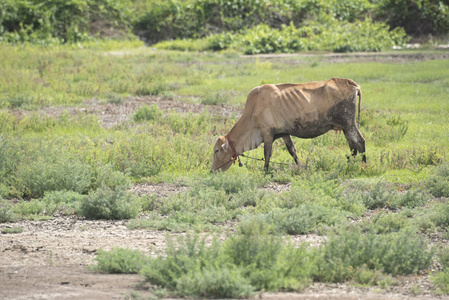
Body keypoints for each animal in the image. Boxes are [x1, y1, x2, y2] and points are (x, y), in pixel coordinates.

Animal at [210, 76, 364, 172]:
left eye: (216, 150)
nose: (212, 171)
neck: (253, 109)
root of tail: (351, 84)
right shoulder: (284, 133)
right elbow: (292, 151)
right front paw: (301, 167)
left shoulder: (267, 132)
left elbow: (267, 153)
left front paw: (265, 171)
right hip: (345, 127)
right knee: (352, 146)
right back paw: (350, 164)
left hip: (349, 123)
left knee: (360, 142)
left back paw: (363, 165)